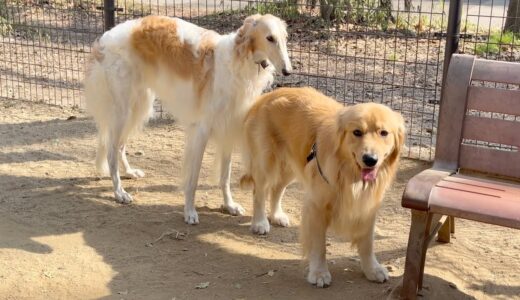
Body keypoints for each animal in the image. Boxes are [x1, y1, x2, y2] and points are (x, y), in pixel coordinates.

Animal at [83, 14, 290, 223]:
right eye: (269, 38)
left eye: (284, 38)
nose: (288, 71)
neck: (239, 62)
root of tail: (105, 38)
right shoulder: (202, 131)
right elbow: (193, 179)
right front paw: (190, 212)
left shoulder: (228, 129)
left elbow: (225, 176)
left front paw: (229, 205)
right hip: (123, 110)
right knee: (111, 150)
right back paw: (119, 192)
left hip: (139, 106)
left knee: (119, 146)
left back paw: (130, 172)